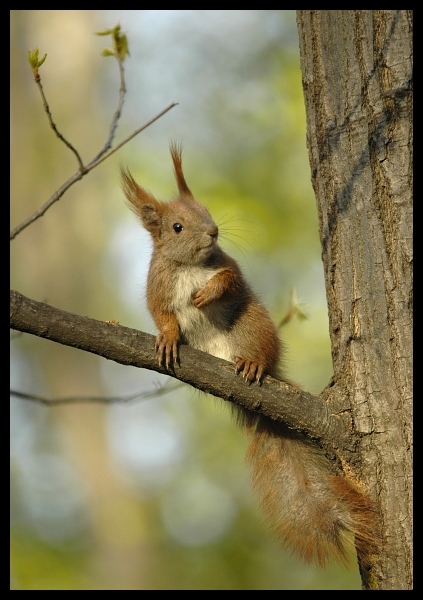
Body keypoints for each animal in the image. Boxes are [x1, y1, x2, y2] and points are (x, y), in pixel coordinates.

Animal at [121, 144, 378, 568]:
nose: (213, 231)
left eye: (207, 211)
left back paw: (254, 363)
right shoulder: (157, 287)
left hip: (253, 325)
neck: (191, 265)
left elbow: (230, 279)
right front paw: (168, 338)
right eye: (177, 227)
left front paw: (208, 292)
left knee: (258, 349)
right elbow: (161, 314)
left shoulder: (228, 265)